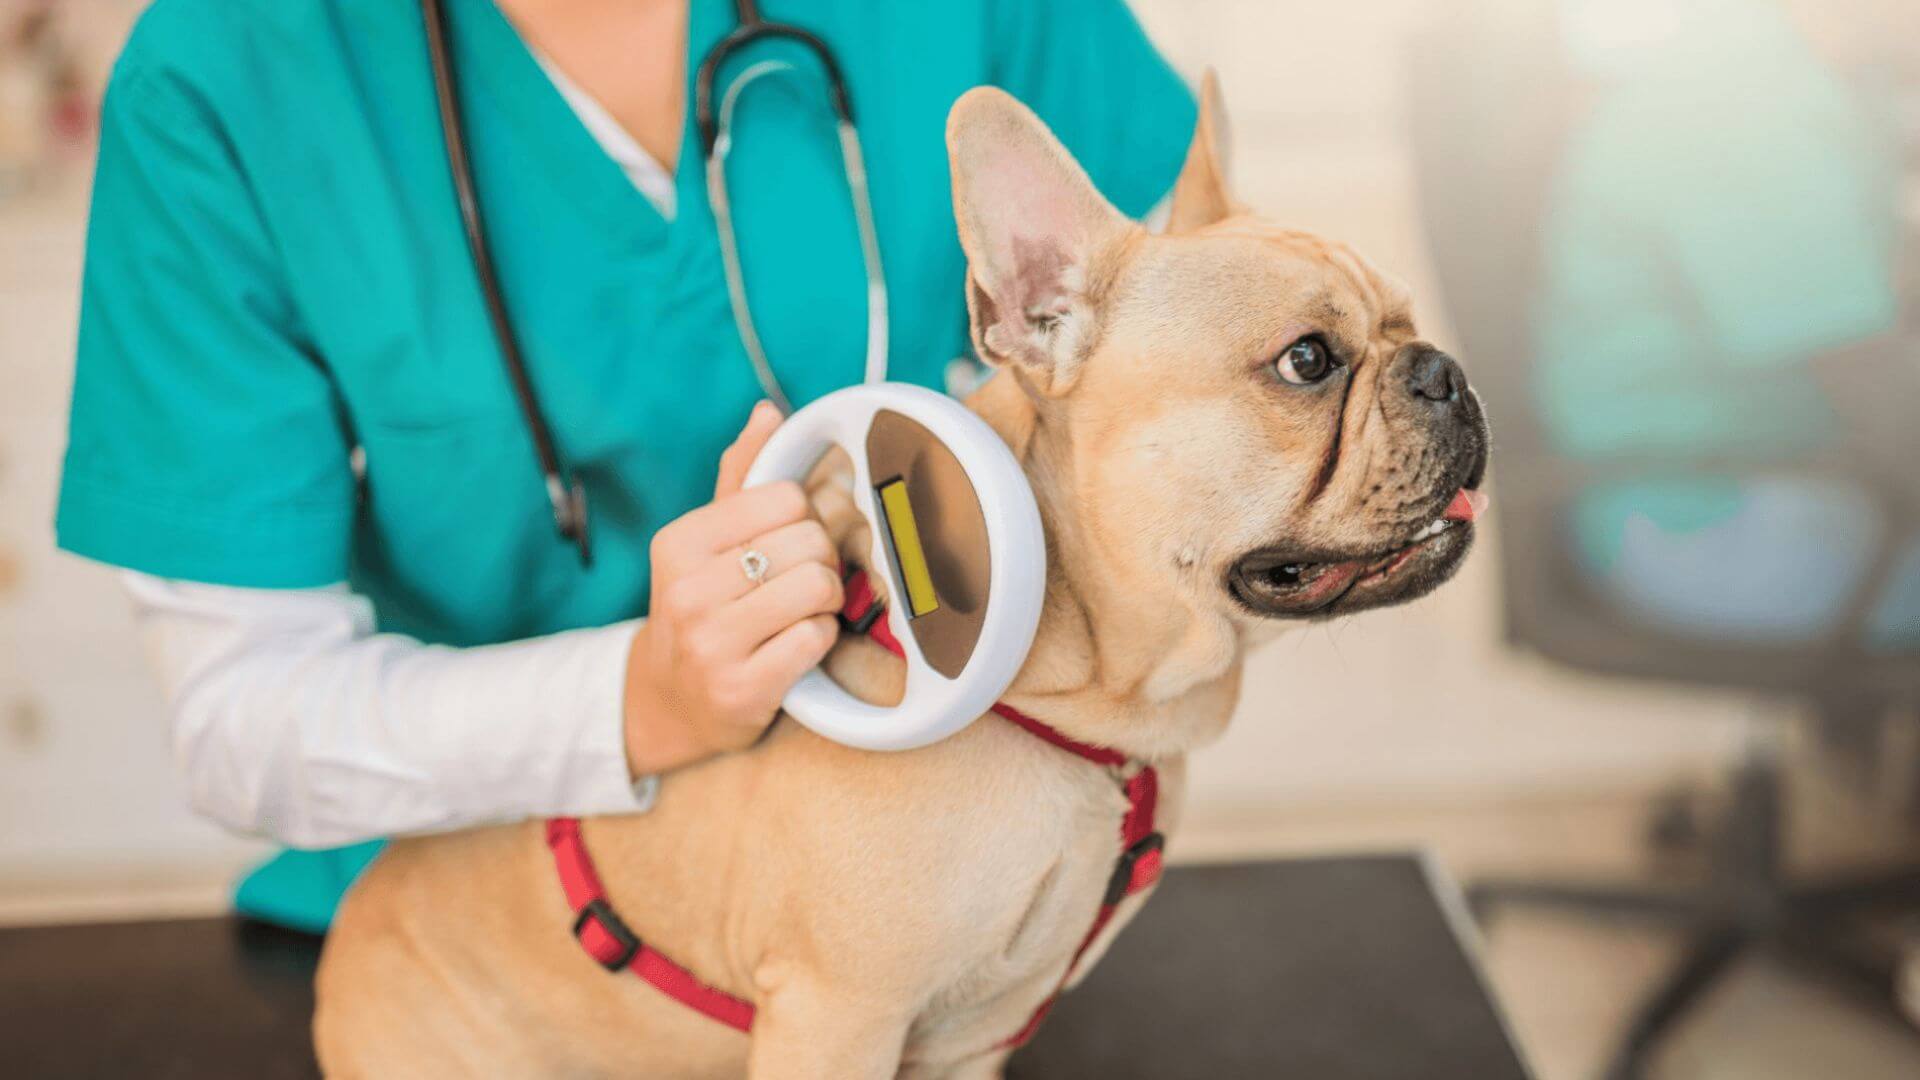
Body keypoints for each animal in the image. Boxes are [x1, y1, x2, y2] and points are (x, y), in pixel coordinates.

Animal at [314, 77, 1489, 1076]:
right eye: (1307, 361)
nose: (1447, 370)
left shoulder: (970, 1041)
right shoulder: (836, 1017)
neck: (1083, 702)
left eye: (1407, 320)